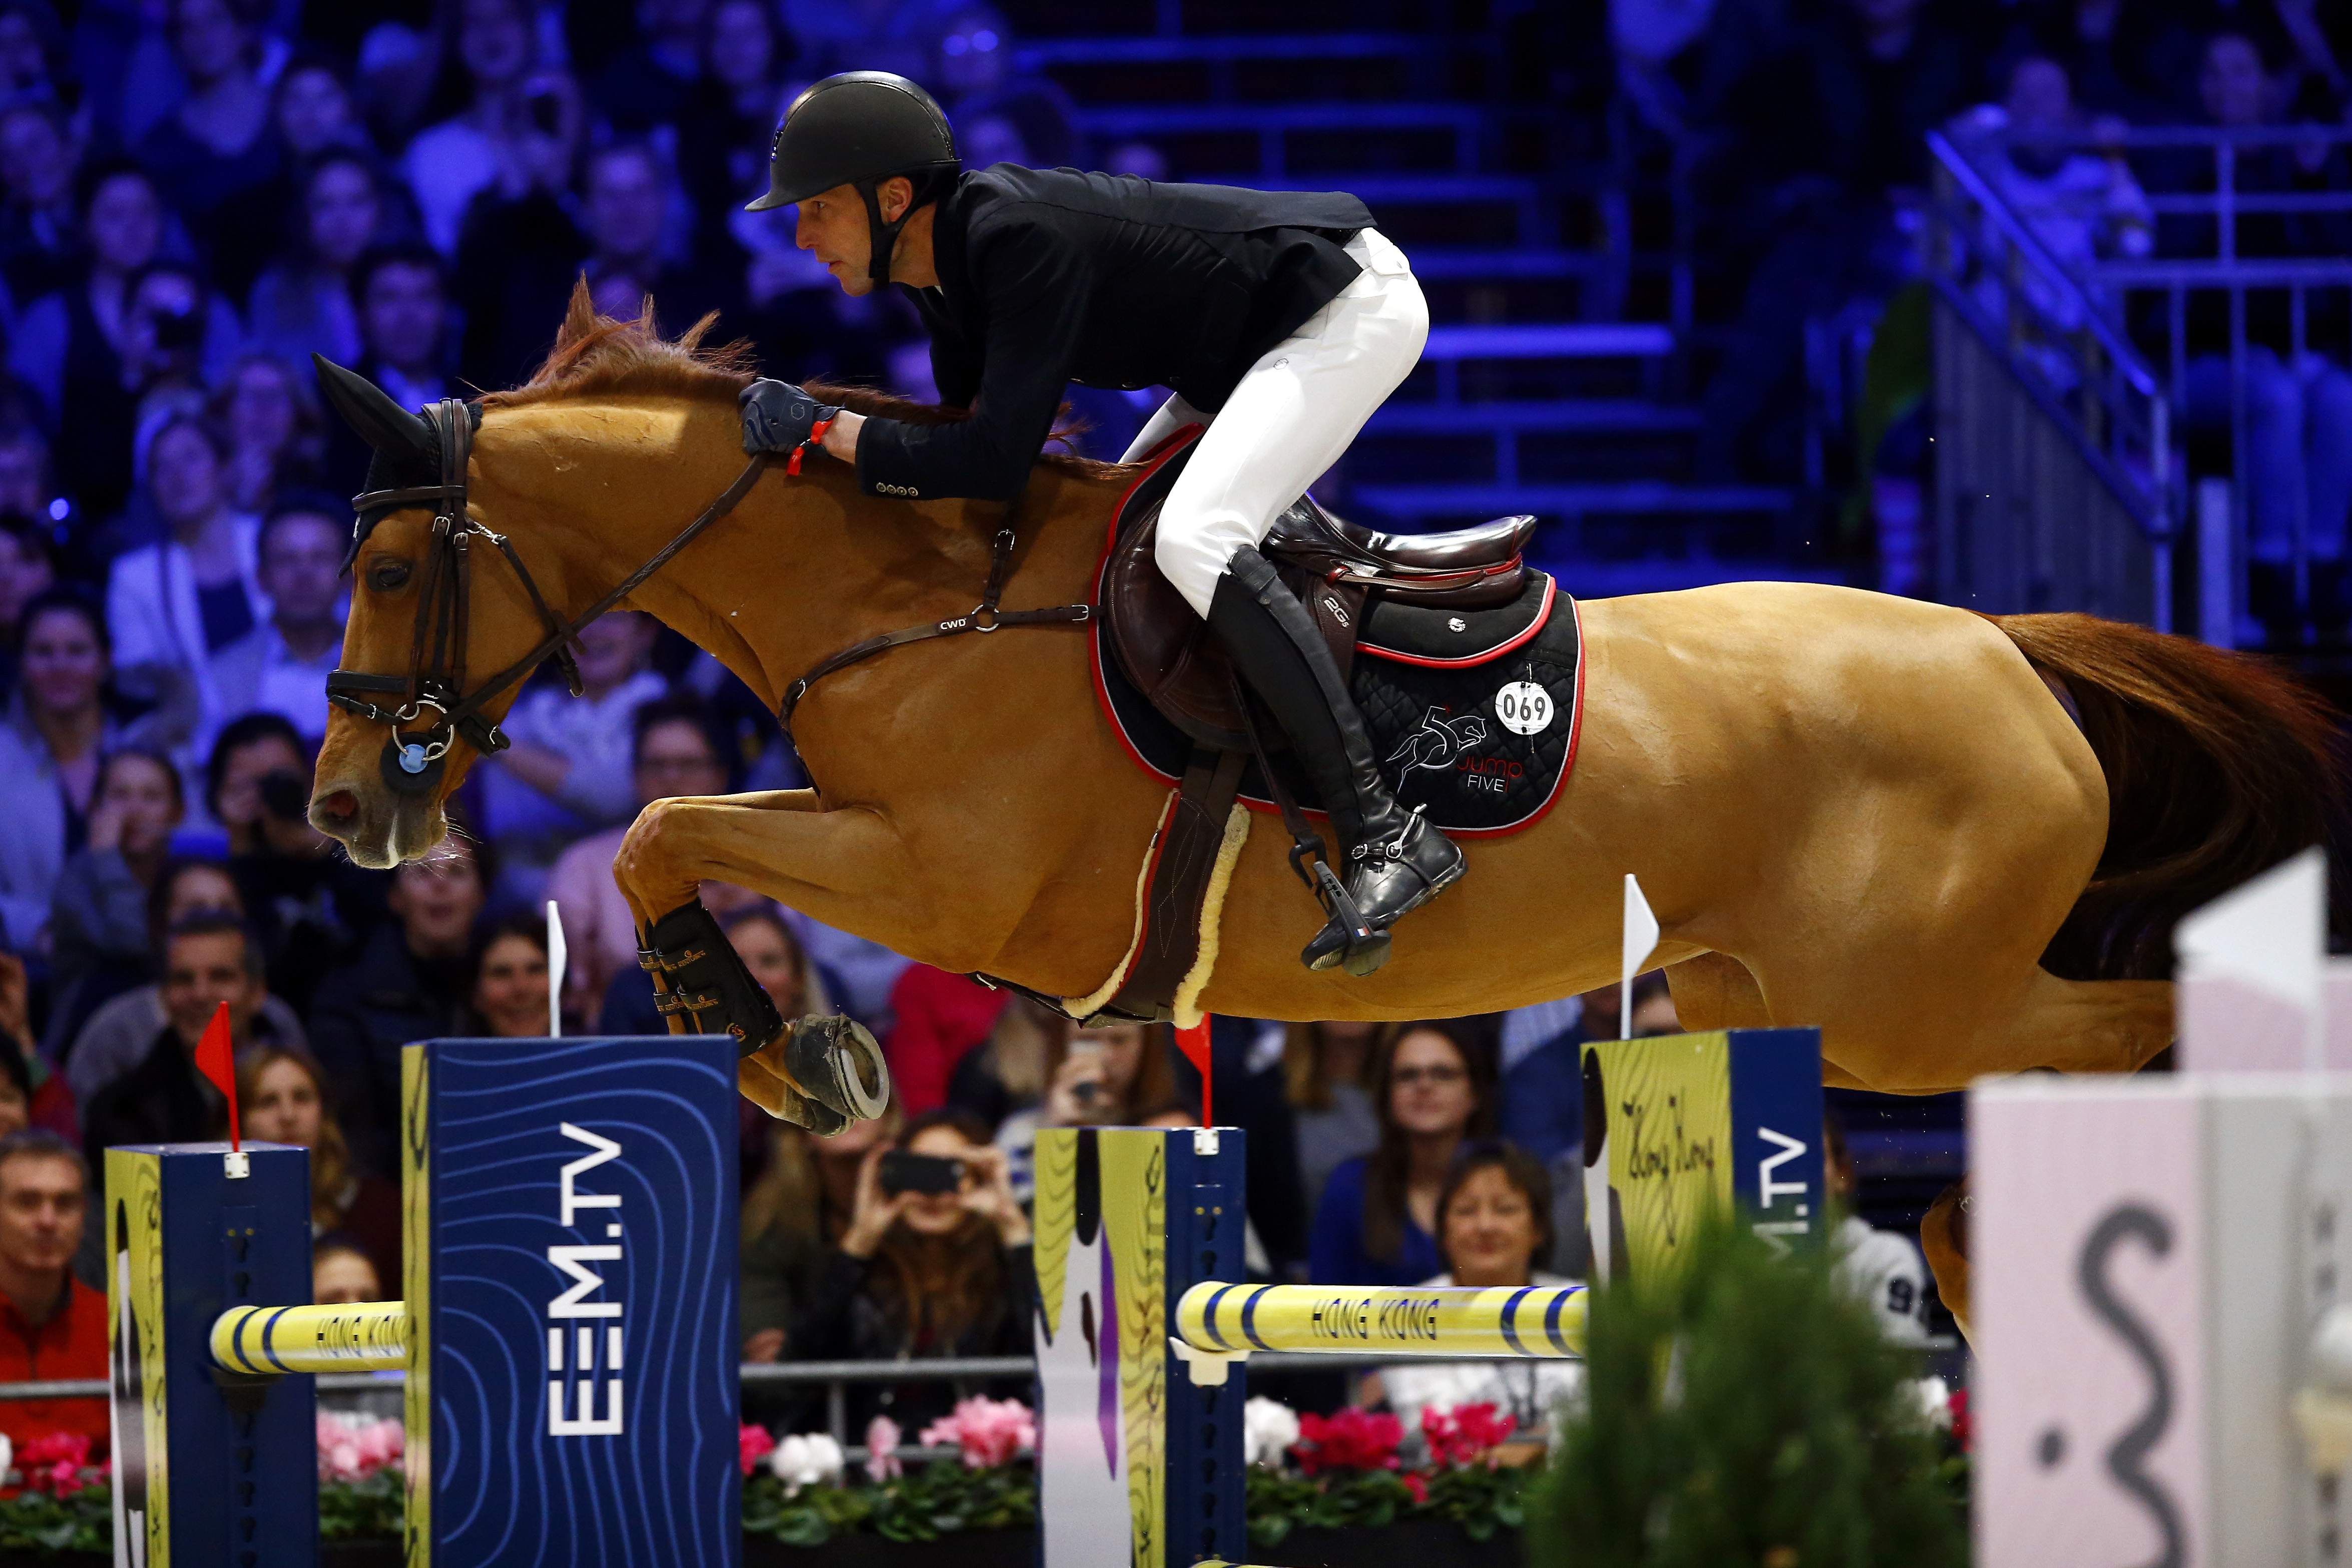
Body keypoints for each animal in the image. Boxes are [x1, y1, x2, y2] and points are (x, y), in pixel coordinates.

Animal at [312, 291, 2333, 1297]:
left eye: (392, 568)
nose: (339, 807)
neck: (915, 598)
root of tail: (2009, 649)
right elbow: (670, 834)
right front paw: (786, 1048)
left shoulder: (945, 879)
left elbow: (668, 828)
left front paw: (792, 1056)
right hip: (1796, 1002)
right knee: (1968, 1179)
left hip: (1926, 1001)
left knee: (2137, 1034)